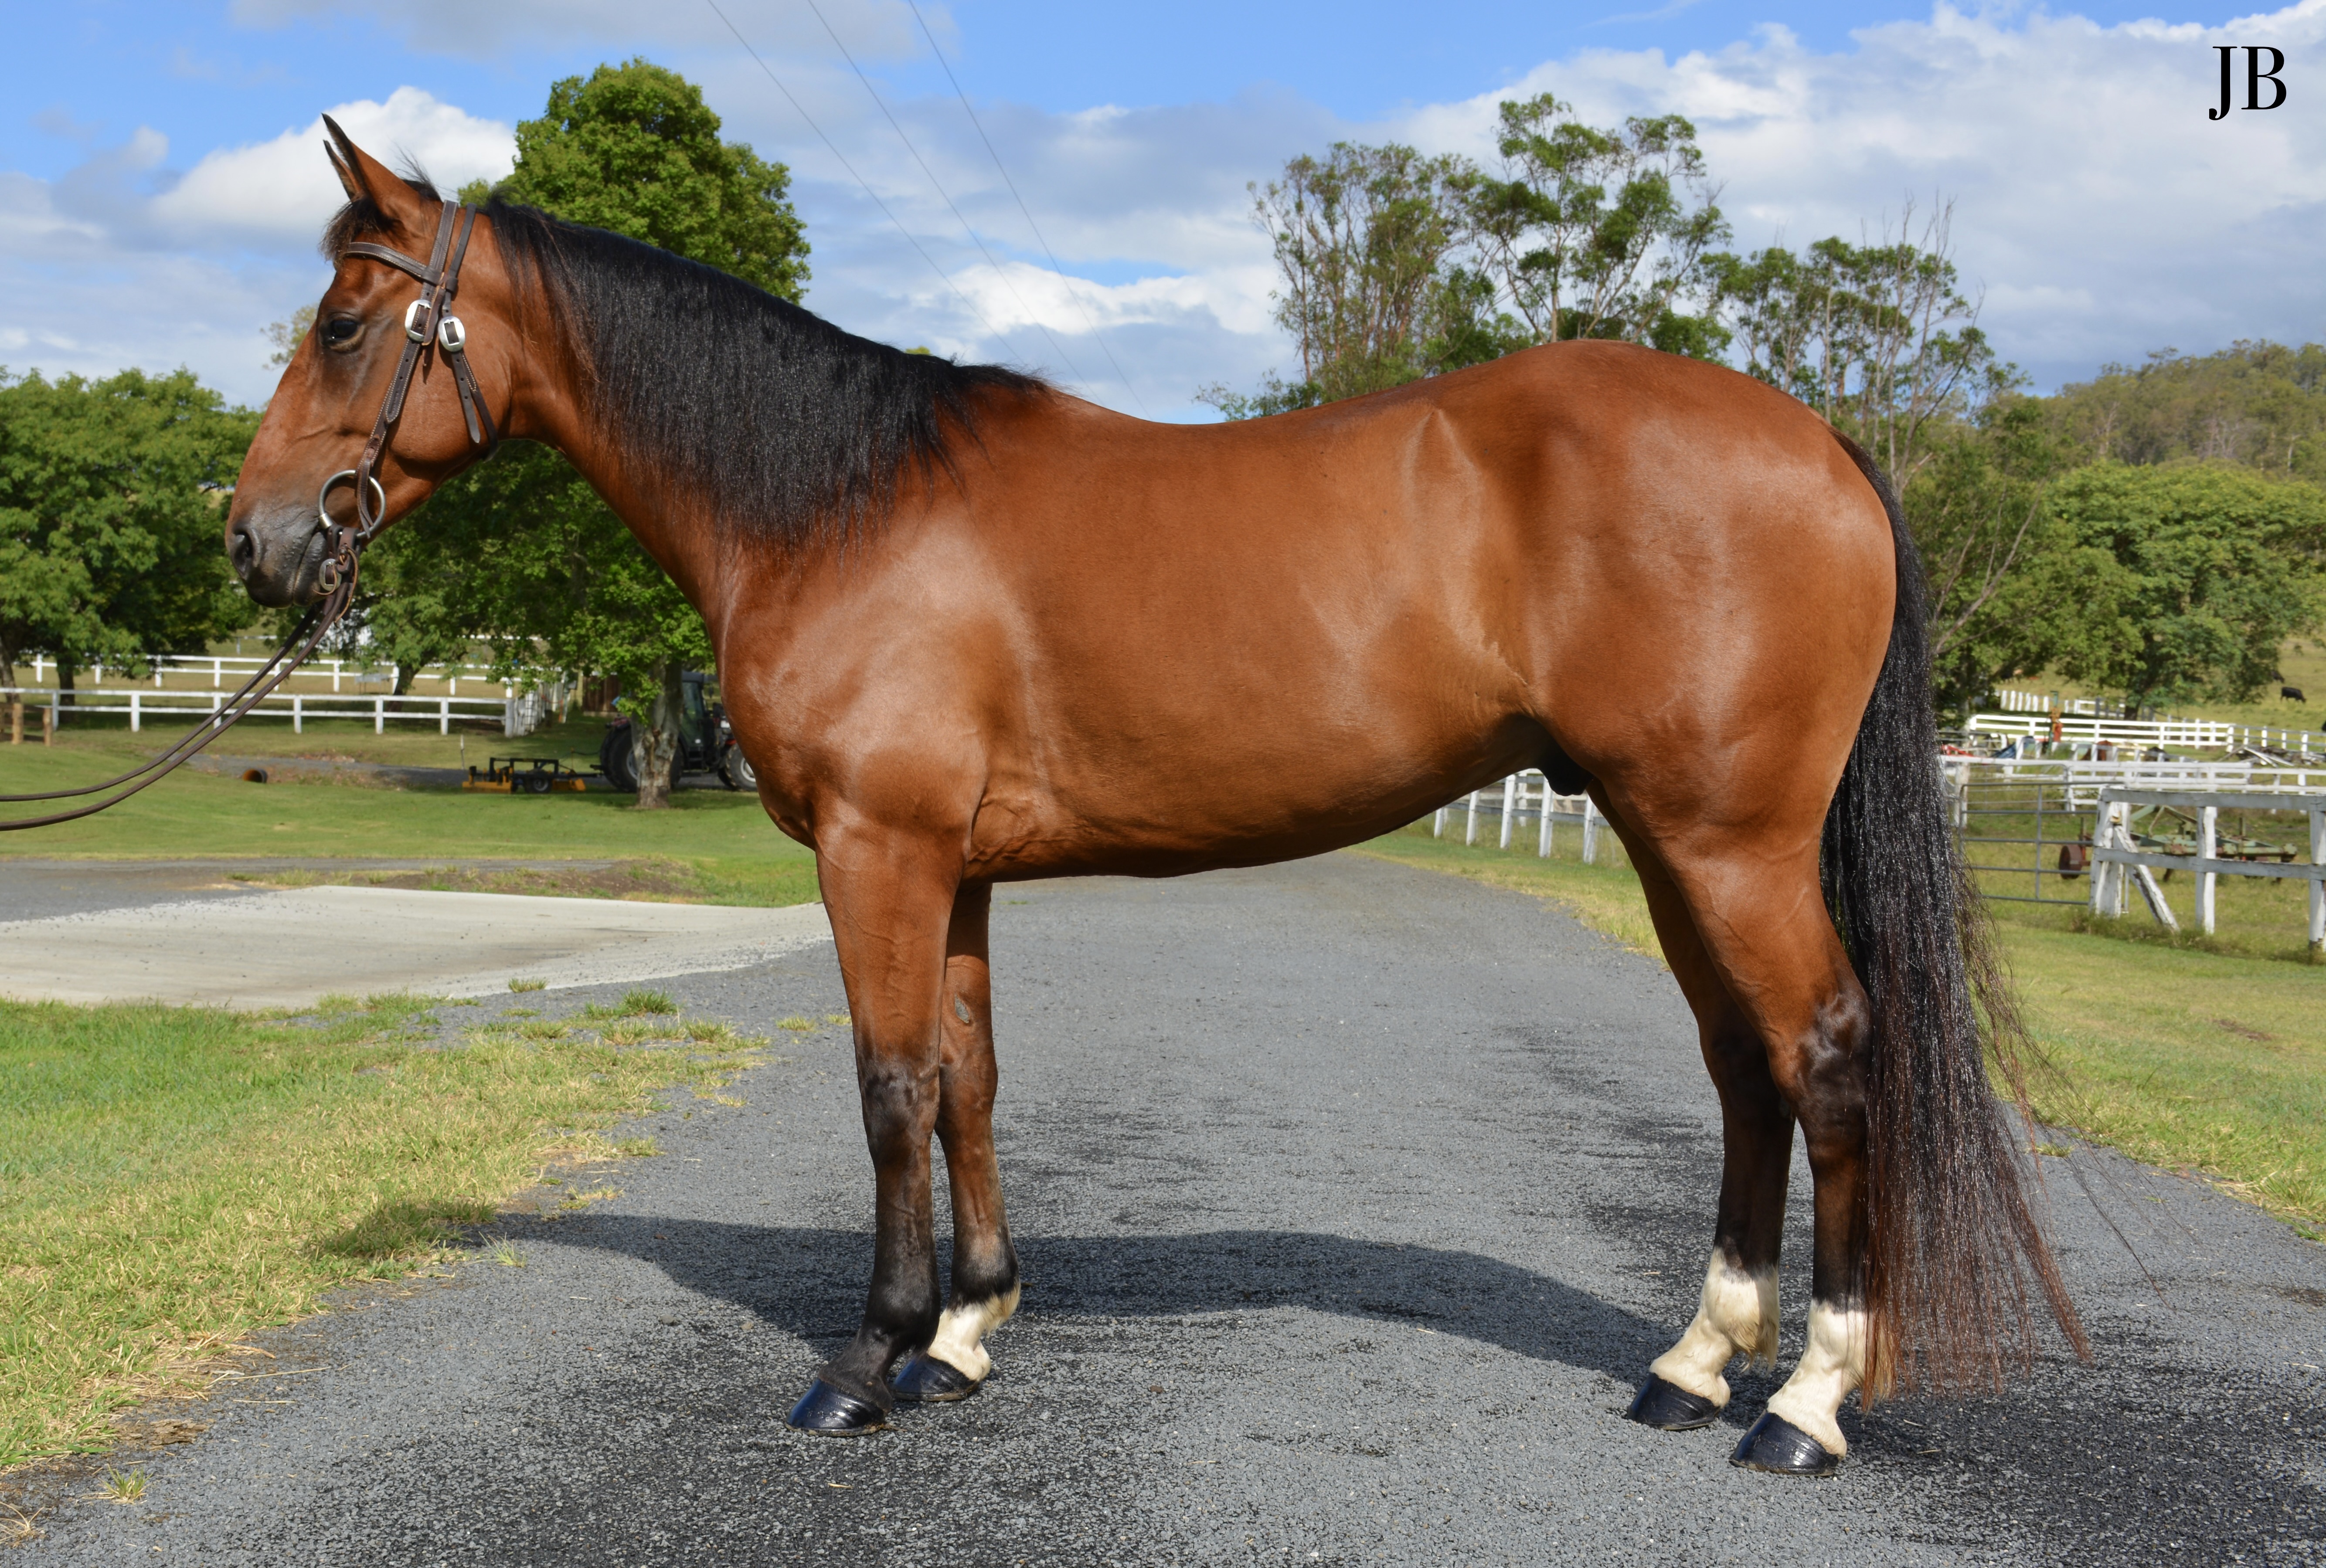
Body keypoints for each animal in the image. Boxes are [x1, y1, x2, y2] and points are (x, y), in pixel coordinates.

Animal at [225, 121, 2084, 1475]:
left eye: (343, 325)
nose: (257, 543)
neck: (837, 505)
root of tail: (1821, 443)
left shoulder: (877, 851)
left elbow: (890, 1089)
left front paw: (862, 1361)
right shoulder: (950, 867)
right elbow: (969, 1077)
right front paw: (966, 1332)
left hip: (1728, 840)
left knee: (1826, 1056)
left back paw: (1804, 1405)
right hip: (1664, 837)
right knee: (1741, 1066)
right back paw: (1694, 1364)